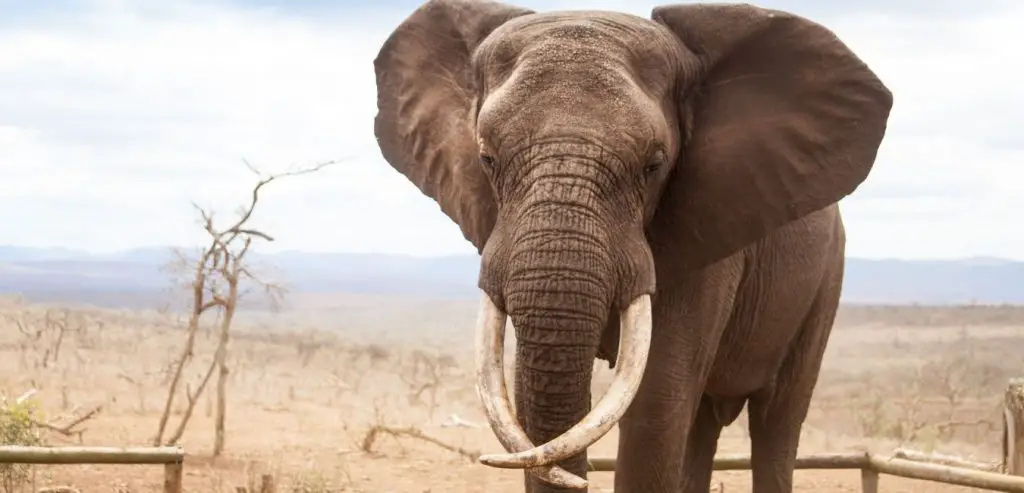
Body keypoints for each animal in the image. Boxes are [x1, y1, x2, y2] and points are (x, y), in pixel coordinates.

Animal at [372, 1, 892, 492]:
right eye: (486, 158)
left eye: (654, 164)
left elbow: (655, 407)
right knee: (703, 426)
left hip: (825, 280)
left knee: (776, 421)